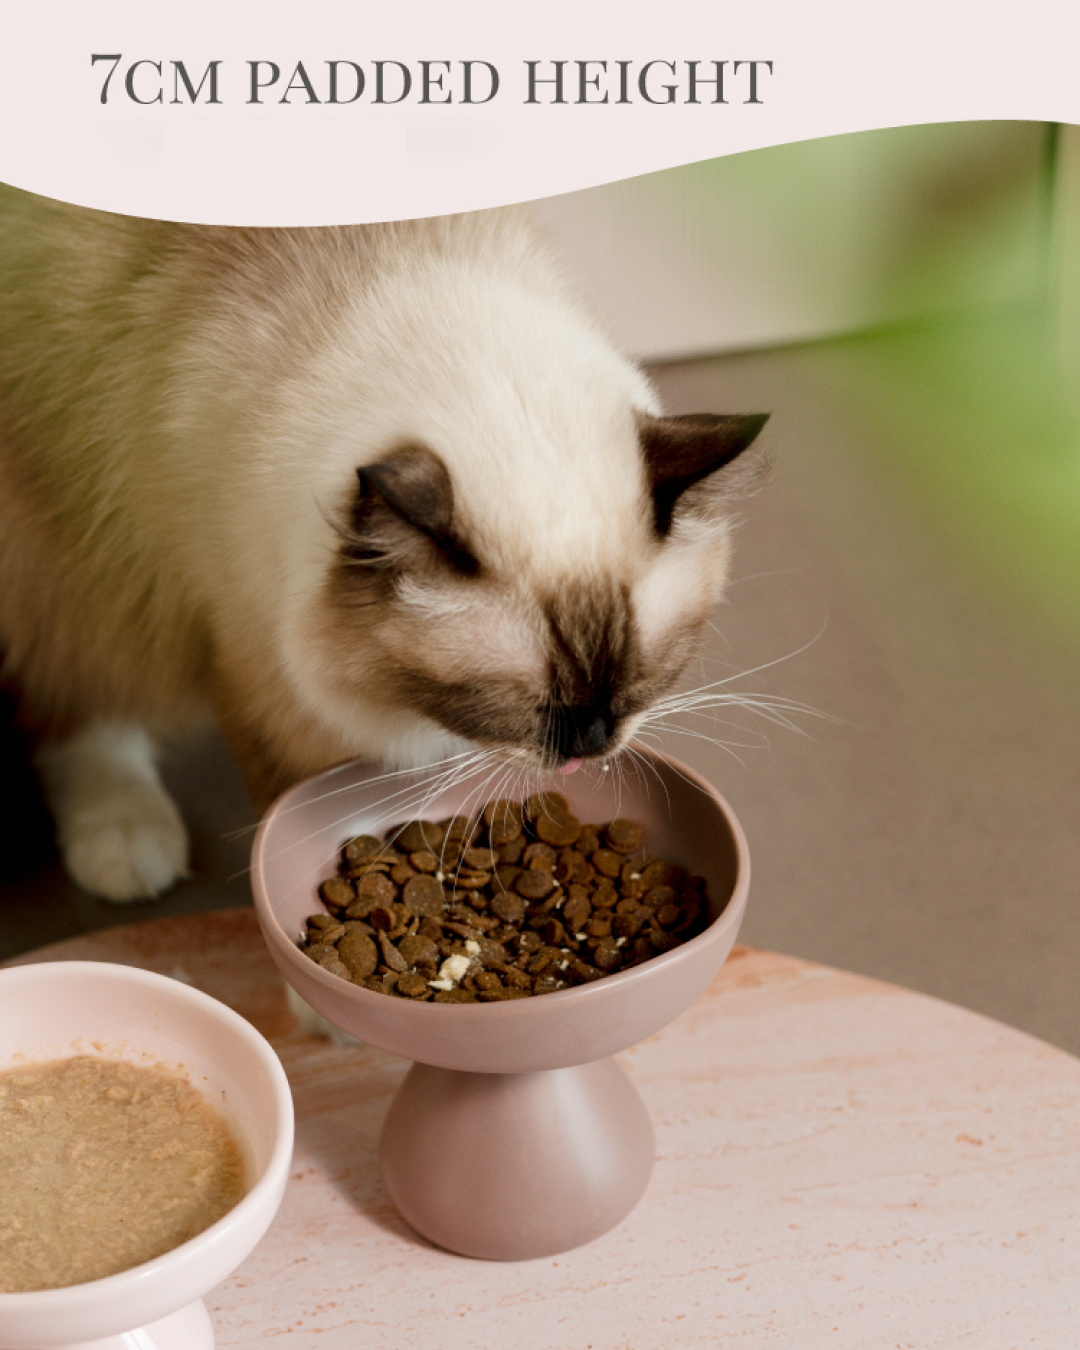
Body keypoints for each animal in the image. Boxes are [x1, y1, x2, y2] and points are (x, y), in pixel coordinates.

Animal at [0, 179, 761, 896]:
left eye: (641, 679)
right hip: (62, 547)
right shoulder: (252, 663)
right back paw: (127, 843)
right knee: (76, 696)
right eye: (522, 707)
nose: (591, 746)